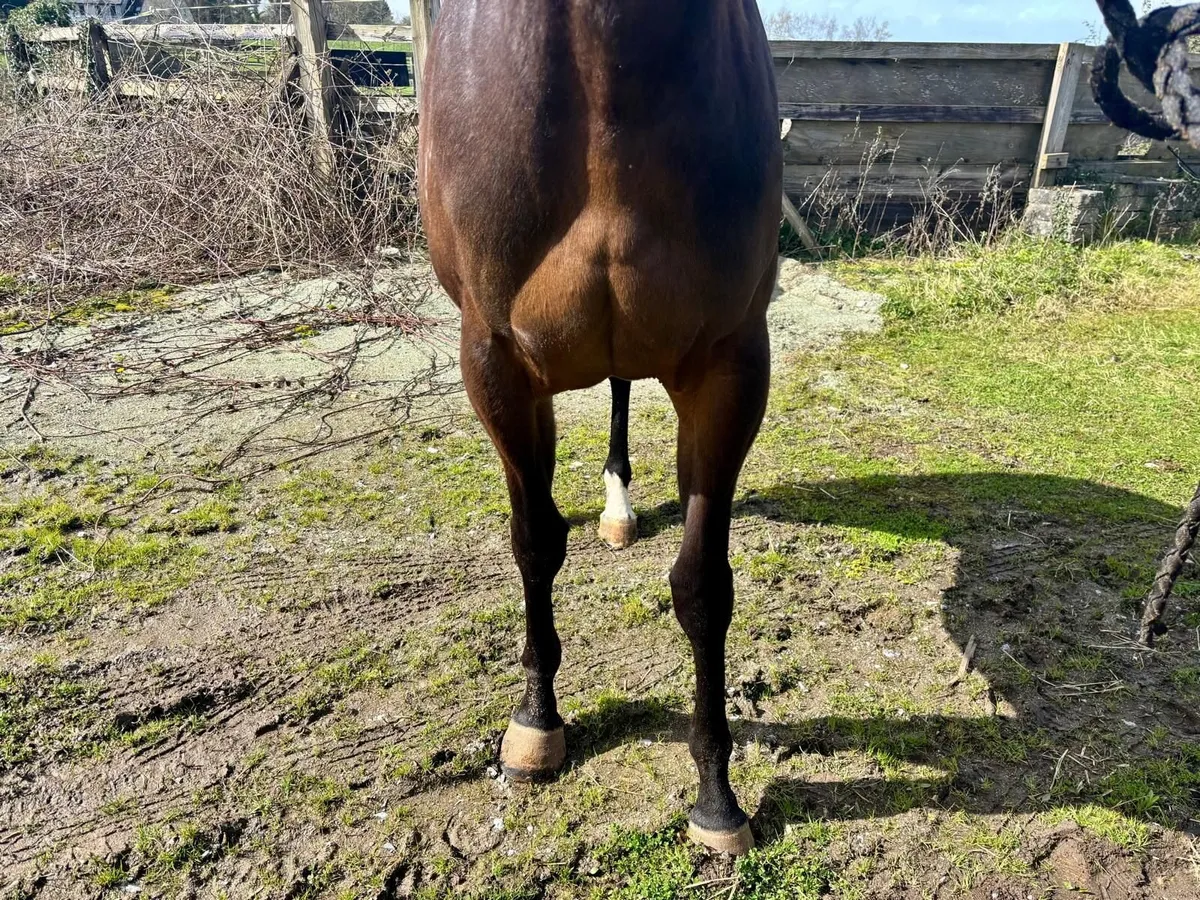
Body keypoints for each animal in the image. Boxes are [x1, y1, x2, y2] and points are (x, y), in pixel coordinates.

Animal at [418, 1, 781, 854]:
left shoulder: (731, 366)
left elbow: (703, 586)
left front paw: (717, 798)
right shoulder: (497, 362)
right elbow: (535, 542)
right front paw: (536, 723)